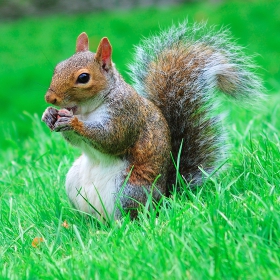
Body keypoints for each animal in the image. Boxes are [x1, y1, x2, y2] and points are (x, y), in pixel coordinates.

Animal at [41, 21, 262, 220]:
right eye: (57, 68)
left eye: (84, 77)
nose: (49, 98)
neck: (87, 110)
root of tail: (165, 198)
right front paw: (49, 114)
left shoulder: (127, 114)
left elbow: (112, 138)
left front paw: (73, 123)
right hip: (74, 182)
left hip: (129, 191)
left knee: (131, 217)